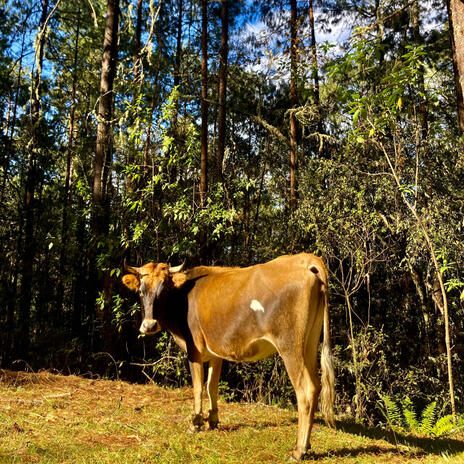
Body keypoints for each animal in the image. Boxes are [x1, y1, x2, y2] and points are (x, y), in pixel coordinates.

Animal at [121, 254, 336, 460]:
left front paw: (195, 423)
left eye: (164, 290)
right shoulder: (216, 350)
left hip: (290, 346)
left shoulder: (194, 349)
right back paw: (307, 445)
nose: (149, 325)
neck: (184, 296)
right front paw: (212, 420)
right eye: (140, 291)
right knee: (316, 385)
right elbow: (211, 386)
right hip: (310, 343)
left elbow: (198, 387)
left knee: (305, 391)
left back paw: (298, 450)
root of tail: (304, 260)